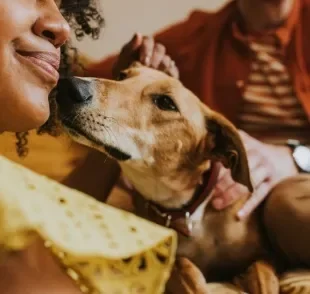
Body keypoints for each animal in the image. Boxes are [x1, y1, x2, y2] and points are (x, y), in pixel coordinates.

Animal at [55, 62, 278, 292]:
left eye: (165, 102)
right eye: (121, 76)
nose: (68, 86)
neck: (189, 211)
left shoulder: (264, 256)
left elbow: (265, 278)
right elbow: (186, 269)